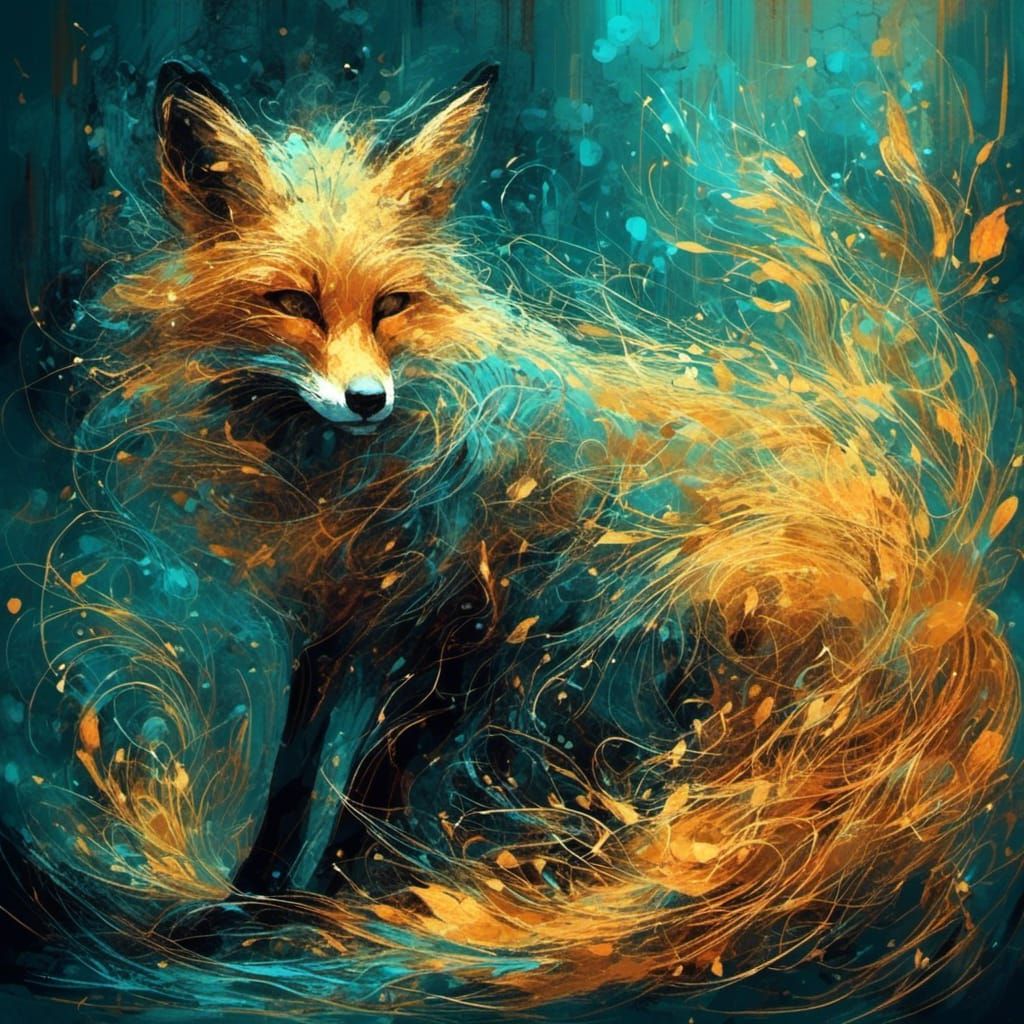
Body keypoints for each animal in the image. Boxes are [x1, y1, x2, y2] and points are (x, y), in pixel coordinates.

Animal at [2, 57, 1021, 1020]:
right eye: (293, 303)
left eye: (392, 305)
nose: (368, 400)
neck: (341, 481)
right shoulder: (336, 631)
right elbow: (291, 782)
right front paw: (247, 906)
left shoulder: (455, 632)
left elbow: (366, 794)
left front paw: (320, 919)